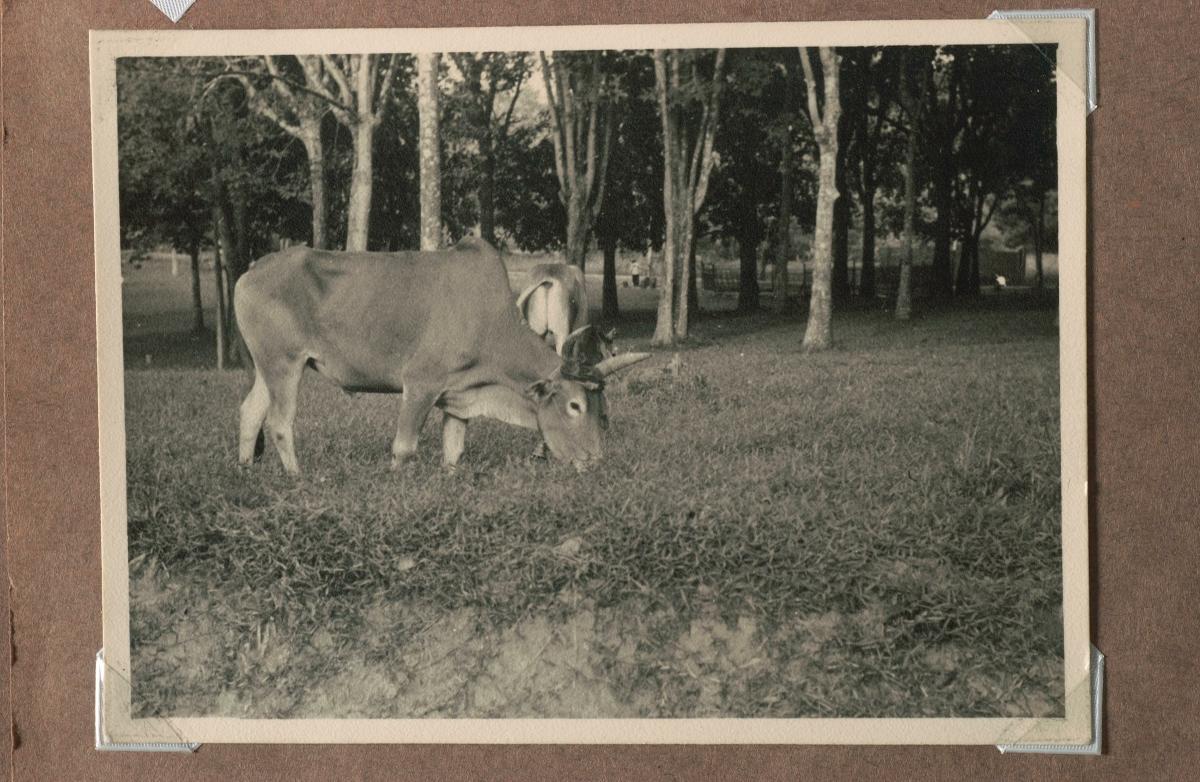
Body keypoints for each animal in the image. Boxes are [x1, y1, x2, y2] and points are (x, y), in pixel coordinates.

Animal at [232, 235, 648, 472]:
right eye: (575, 405)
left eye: (603, 409)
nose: (594, 462)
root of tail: (251, 271)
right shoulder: (420, 384)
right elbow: (403, 449)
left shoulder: (459, 396)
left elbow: (454, 451)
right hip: (285, 364)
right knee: (279, 422)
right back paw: (295, 478)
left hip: (269, 368)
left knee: (251, 412)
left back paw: (245, 470)